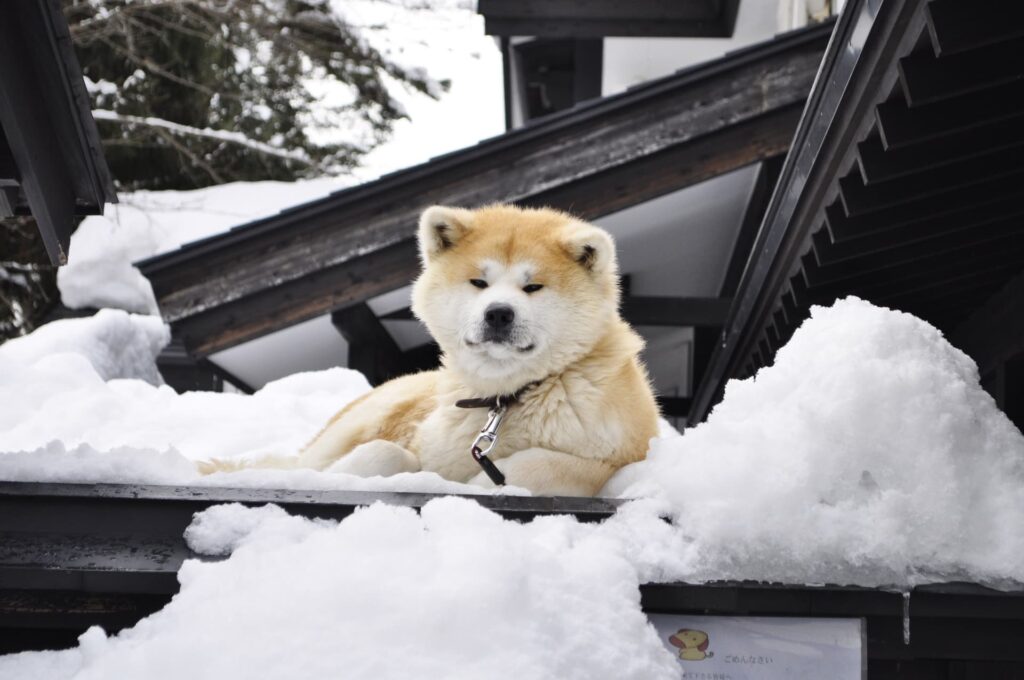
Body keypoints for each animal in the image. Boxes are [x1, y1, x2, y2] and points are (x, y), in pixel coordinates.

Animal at [203, 204, 659, 497]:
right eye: (479, 282)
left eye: (533, 286)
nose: (498, 313)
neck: (505, 399)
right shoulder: (422, 444)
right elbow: (385, 454)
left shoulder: (617, 453)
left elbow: (544, 465)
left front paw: (485, 484)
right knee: (301, 463)